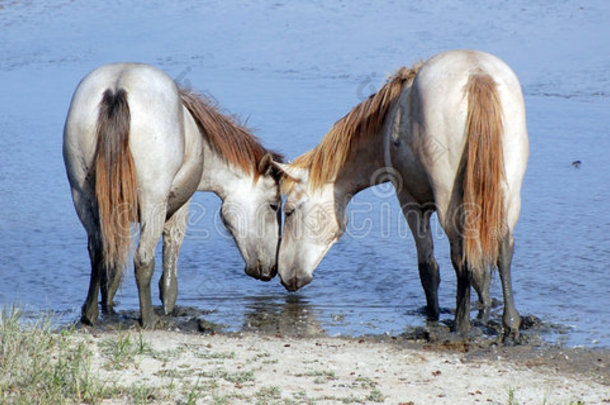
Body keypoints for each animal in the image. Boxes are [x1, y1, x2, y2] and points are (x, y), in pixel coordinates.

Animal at [63, 64, 282, 328]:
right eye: (273, 205)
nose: (272, 270)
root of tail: (117, 88)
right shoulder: (178, 209)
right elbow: (168, 267)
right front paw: (167, 308)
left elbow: (112, 268)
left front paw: (109, 305)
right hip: (153, 205)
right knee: (143, 260)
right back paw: (148, 320)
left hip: (82, 197)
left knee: (98, 251)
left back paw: (90, 314)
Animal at [274, 49, 528, 336]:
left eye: (290, 210)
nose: (284, 275)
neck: (389, 122)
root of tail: (477, 74)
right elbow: (480, 268)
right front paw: (483, 310)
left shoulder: (411, 202)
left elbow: (429, 268)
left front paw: (433, 315)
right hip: (506, 196)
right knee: (503, 249)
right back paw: (511, 324)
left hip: (449, 202)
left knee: (460, 256)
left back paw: (461, 325)